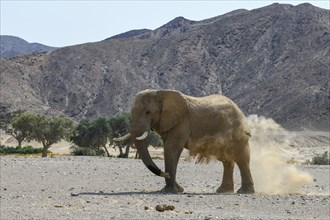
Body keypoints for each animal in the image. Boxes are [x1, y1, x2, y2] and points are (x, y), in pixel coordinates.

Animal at [114, 88, 256, 193]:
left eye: (148, 112)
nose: (165, 174)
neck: (161, 93)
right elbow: (169, 149)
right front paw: (177, 190)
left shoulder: (181, 122)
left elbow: (171, 148)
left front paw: (168, 191)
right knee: (227, 160)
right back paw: (223, 191)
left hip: (237, 134)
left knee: (241, 158)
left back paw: (245, 192)